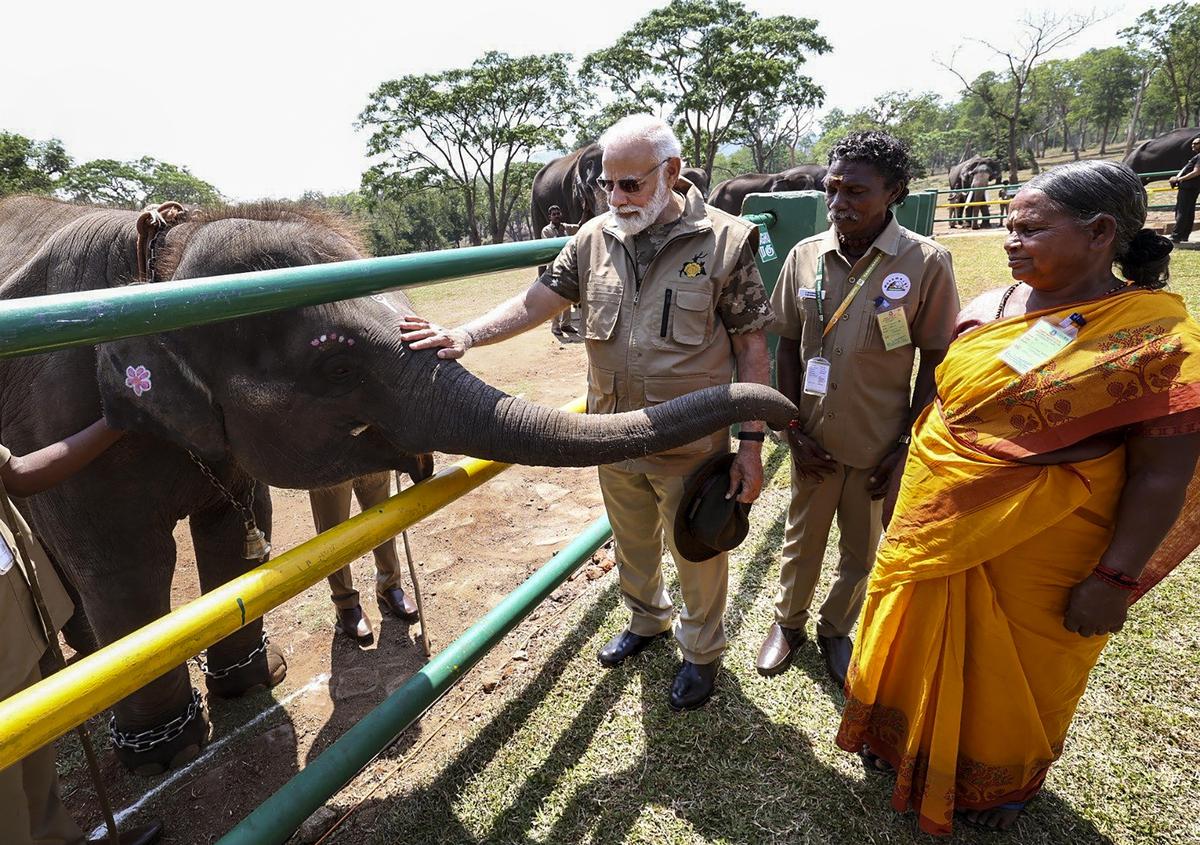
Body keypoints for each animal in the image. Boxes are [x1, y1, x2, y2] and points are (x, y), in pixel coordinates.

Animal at [0, 195, 797, 774]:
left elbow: (235, 529)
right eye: (336, 368)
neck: (159, 267)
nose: (785, 413)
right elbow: (124, 563)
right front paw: (168, 753)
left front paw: (253, 683)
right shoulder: (57, 419)